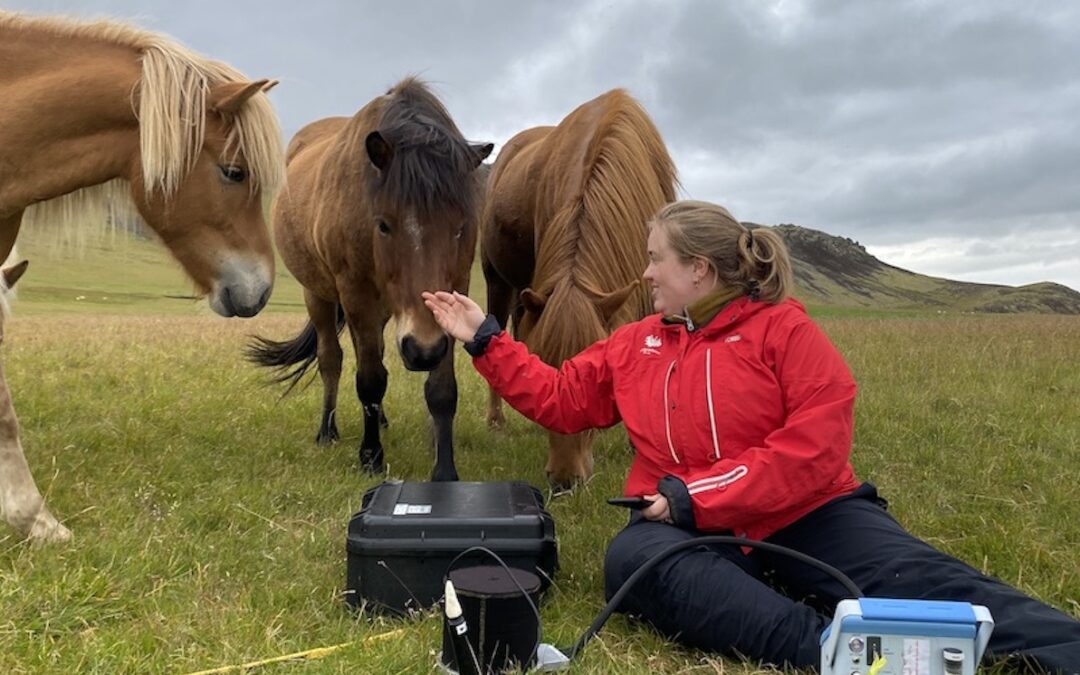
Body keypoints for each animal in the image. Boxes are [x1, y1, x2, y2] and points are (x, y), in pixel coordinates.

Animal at [247, 77, 492, 479]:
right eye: (384, 225)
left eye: (459, 228)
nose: (423, 350)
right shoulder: (355, 293)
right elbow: (370, 378)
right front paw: (371, 455)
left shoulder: (455, 289)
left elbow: (441, 388)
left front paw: (444, 470)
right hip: (318, 295)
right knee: (332, 359)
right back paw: (327, 431)